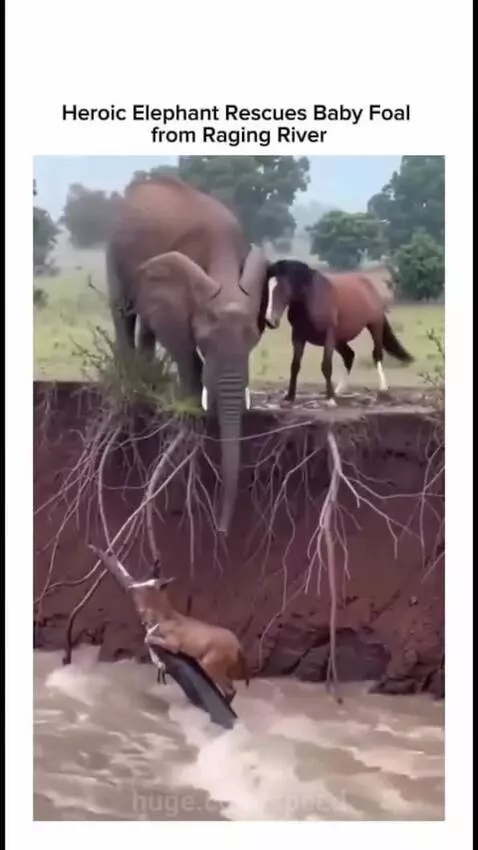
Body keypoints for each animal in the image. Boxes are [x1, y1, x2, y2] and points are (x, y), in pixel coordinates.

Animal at [106, 175, 270, 534]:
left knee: (146, 325)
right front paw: (192, 406)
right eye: (205, 343)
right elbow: (182, 344)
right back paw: (133, 384)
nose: (221, 530)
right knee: (123, 311)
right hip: (114, 250)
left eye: (254, 341)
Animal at [264, 259, 414, 406]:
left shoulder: (329, 336)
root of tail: (369, 287)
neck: (312, 297)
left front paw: (330, 399)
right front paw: (289, 397)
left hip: (374, 326)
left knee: (377, 354)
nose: (270, 321)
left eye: (281, 288)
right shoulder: (297, 336)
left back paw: (382, 389)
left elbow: (326, 366)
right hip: (340, 340)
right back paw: (338, 391)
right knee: (349, 356)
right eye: (267, 288)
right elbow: (295, 366)